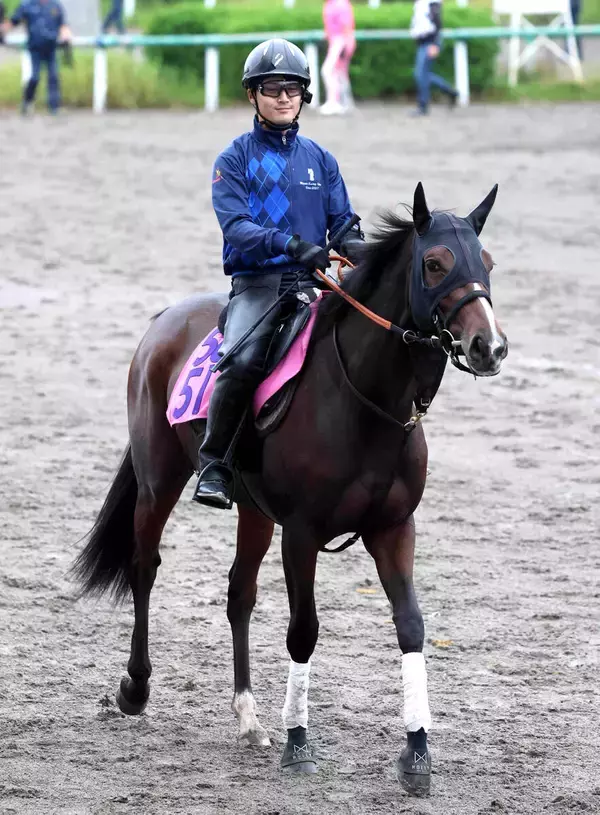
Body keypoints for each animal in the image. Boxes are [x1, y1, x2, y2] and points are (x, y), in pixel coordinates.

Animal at [73, 183, 508, 795]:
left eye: (486, 263)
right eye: (435, 264)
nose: (488, 346)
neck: (364, 402)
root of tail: (165, 319)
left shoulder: (393, 528)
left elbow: (411, 626)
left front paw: (417, 751)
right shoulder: (301, 534)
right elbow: (303, 630)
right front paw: (299, 743)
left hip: (253, 511)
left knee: (239, 594)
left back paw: (249, 717)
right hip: (159, 480)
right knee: (144, 567)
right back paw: (135, 688)